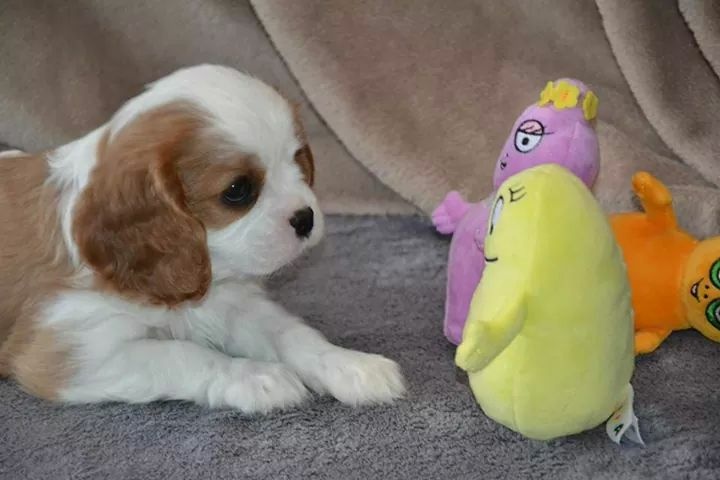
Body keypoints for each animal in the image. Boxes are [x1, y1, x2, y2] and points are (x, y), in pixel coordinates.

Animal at [0, 65, 405, 413]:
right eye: (238, 191)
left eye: (297, 160)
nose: (306, 218)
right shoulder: (73, 348)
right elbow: (180, 354)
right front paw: (255, 376)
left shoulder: (239, 305)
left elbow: (292, 334)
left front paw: (349, 363)